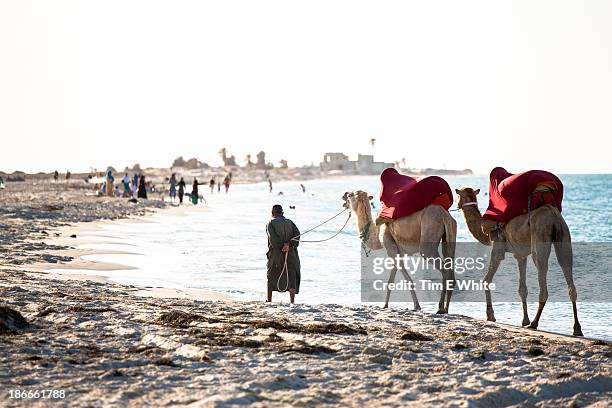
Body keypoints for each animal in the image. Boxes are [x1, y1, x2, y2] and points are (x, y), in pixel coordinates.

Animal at [456, 187, 580, 334]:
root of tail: (553, 217)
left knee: (542, 272)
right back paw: (577, 328)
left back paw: (535, 323)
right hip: (564, 234)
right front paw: (524, 320)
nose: (457, 204)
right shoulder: (520, 254)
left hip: (540, 237)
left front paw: (491, 316)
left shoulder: (497, 246)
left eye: (458, 195)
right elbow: (522, 288)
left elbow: (486, 280)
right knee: (567, 271)